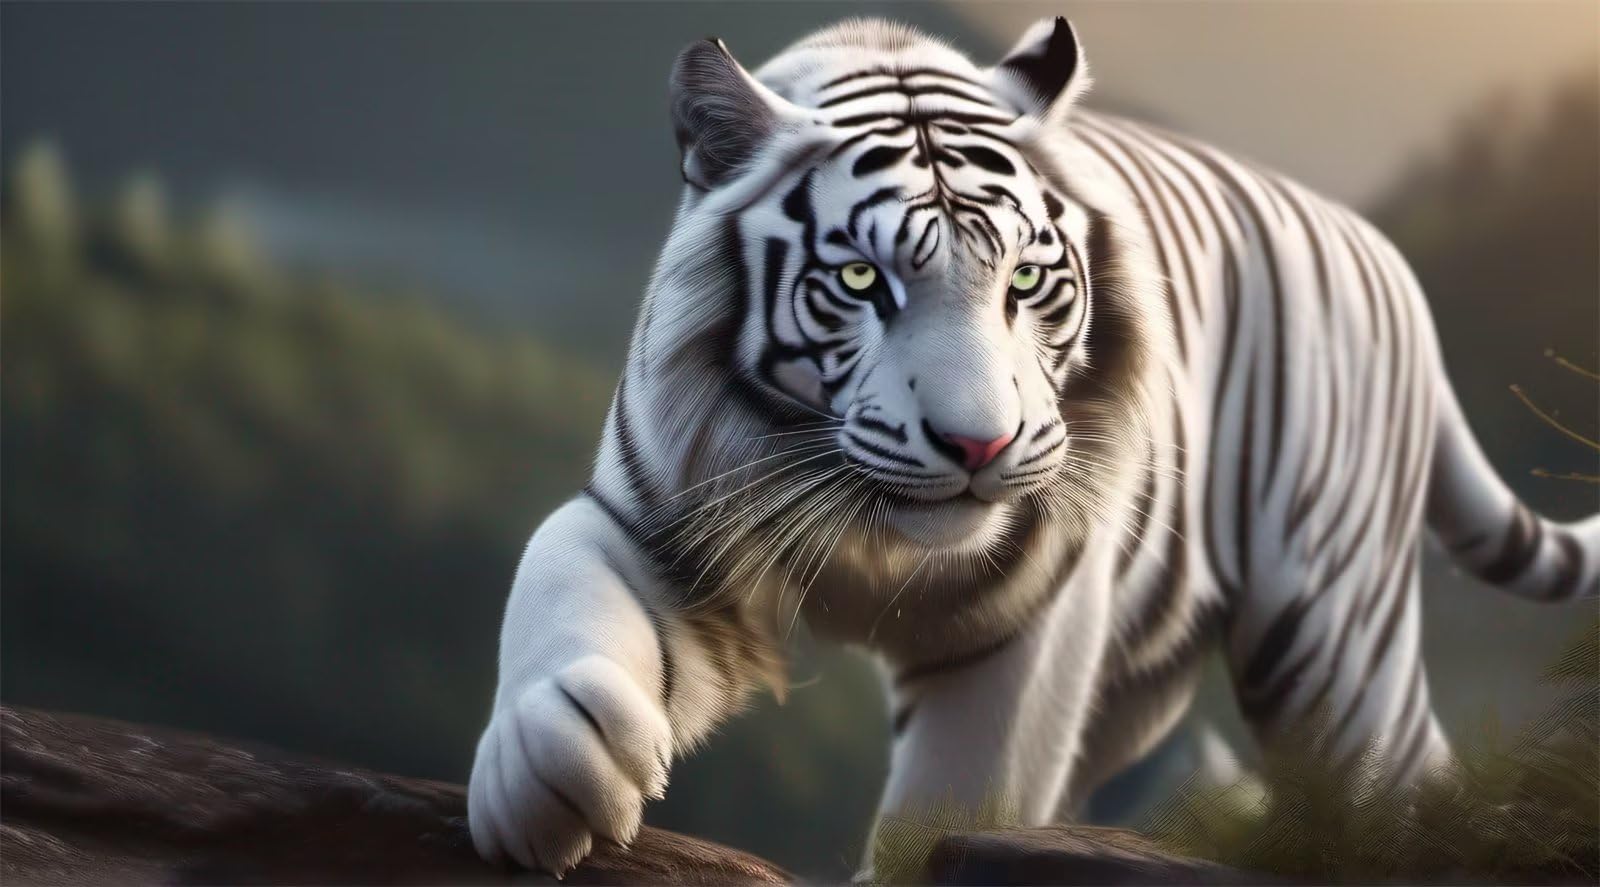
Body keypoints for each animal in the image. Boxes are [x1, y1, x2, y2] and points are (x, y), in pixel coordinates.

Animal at [466, 17, 1600, 875]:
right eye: (860, 280)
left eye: (1022, 278)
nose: (979, 443)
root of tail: (1389, 258)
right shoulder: (655, 515)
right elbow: (557, 575)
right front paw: (550, 771)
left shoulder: (1028, 620)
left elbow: (949, 804)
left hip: (1330, 634)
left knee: (1398, 774)